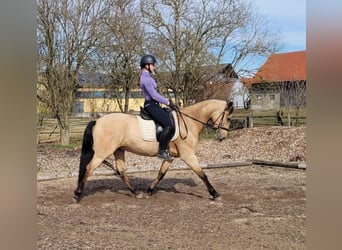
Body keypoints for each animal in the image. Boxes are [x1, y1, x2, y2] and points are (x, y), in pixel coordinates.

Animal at [74, 98, 235, 202]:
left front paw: (149, 191)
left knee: (120, 170)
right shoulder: (188, 155)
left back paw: (136, 193)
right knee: (88, 169)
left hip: (119, 150)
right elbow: (202, 174)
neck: (189, 122)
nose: (222, 137)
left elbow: (161, 174)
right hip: (102, 153)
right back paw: (77, 194)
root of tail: (97, 121)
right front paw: (215, 194)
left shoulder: (171, 157)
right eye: (228, 118)